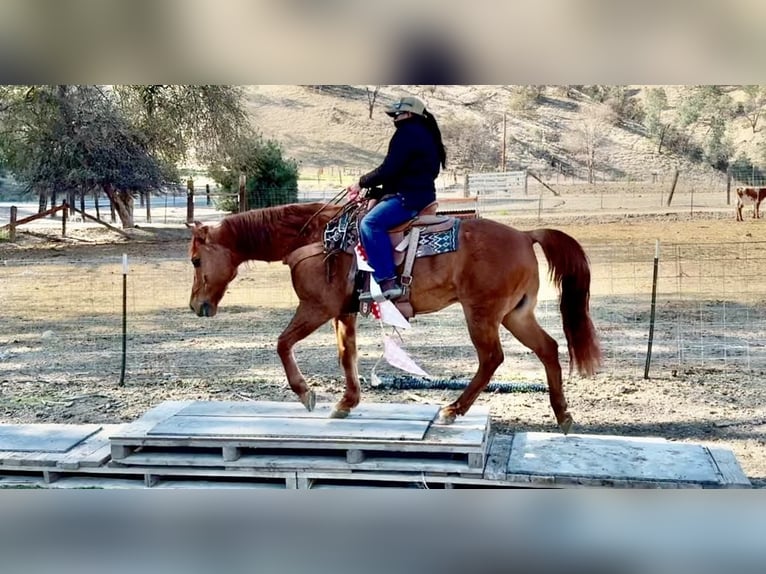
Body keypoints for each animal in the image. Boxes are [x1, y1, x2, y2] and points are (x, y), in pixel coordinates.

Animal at [188, 201, 608, 432]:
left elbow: (282, 343)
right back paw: (563, 415)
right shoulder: (343, 313)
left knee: (492, 358)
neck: (315, 236)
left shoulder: (316, 308)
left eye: (195, 260)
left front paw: (306, 394)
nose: (195, 306)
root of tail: (524, 234)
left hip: (482, 314)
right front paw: (346, 403)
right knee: (549, 349)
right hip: (515, 315)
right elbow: (347, 356)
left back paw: (452, 410)